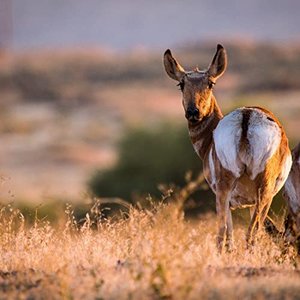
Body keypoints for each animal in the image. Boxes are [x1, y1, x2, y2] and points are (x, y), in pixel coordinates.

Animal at [163, 44, 292, 251]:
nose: (193, 112)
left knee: (230, 233)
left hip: (234, 193)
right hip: (257, 192)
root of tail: (246, 117)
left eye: (210, 83)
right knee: (247, 234)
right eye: (181, 84)